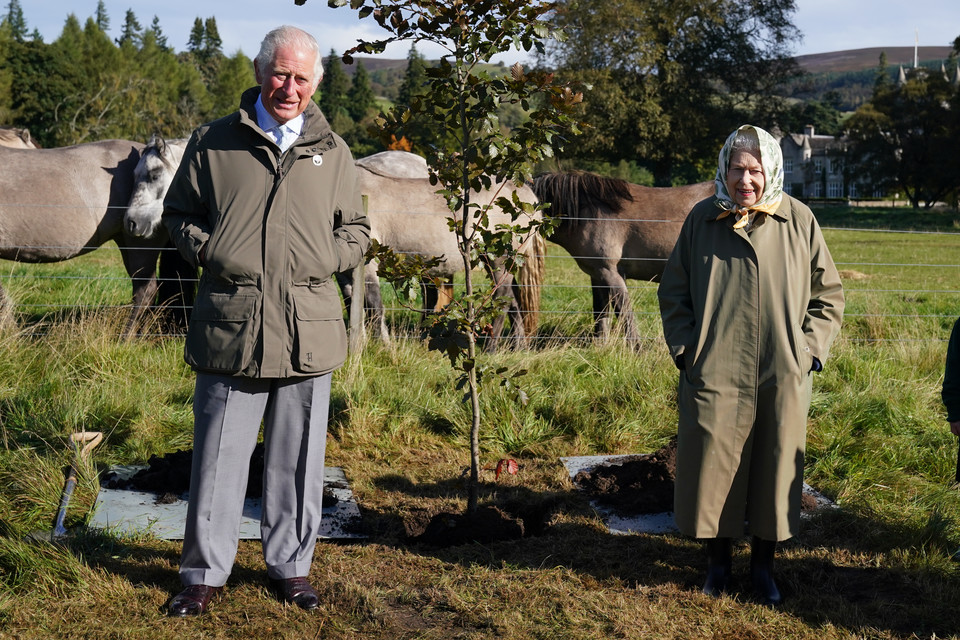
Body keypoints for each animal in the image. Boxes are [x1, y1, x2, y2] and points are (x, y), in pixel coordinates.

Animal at [532, 170, 712, 344]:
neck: (588, 213)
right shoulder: (597, 275)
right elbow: (601, 313)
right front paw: (600, 346)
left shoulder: (610, 272)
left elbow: (624, 312)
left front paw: (636, 348)